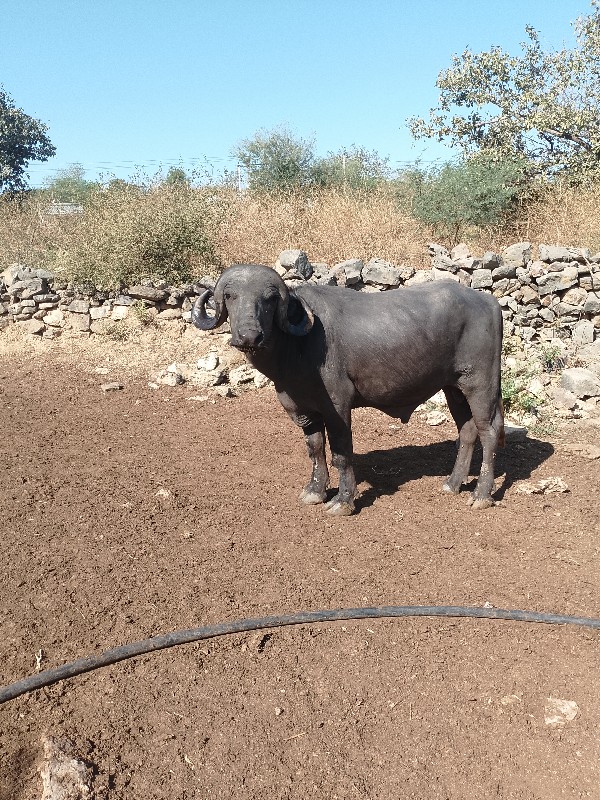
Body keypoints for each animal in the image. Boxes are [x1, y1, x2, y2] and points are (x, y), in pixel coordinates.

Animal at [193, 266, 506, 516]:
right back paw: (452, 484)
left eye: (269, 298)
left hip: (481, 383)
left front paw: (343, 501)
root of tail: (489, 301)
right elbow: (315, 449)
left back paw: (481, 494)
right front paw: (315, 491)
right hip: (453, 388)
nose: (249, 335)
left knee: (488, 431)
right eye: (230, 296)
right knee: (467, 430)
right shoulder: (303, 409)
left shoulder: (337, 406)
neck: (297, 346)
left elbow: (341, 453)